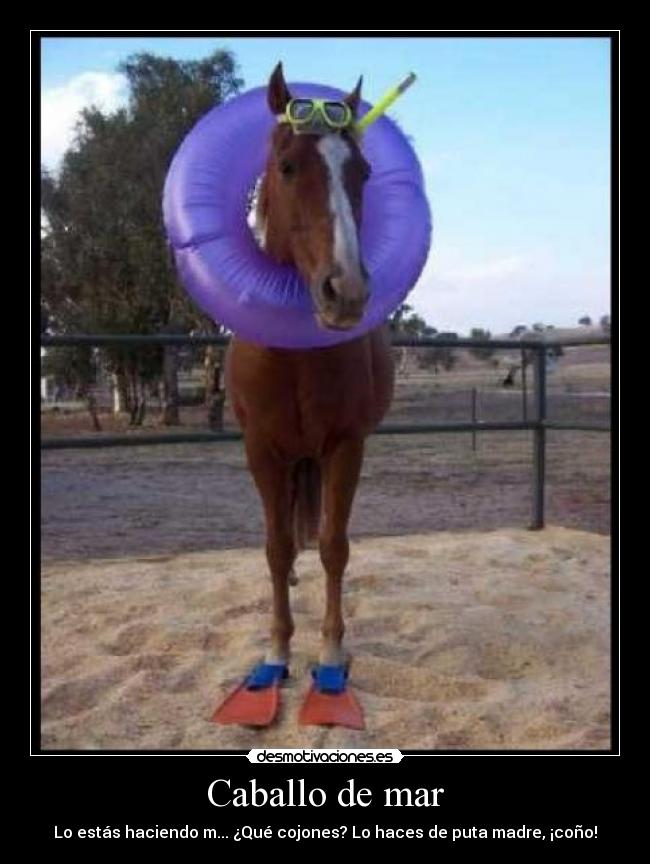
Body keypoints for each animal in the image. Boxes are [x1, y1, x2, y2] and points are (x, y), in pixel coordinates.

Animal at [224, 63, 394, 716]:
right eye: (288, 165)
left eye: (362, 171)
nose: (345, 291)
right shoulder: (262, 450)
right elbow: (275, 548)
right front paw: (275, 656)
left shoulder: (345, 446)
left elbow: (333, 546)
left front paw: (329, 656)